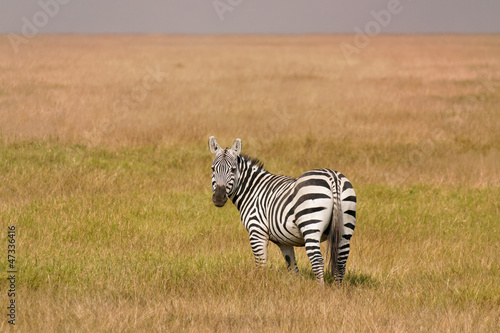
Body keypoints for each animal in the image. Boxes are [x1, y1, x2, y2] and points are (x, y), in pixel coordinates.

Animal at [209, 136, 358, 284]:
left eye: (233, 170)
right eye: (213, 169)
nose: (218, 198)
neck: (252, 190)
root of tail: (333, 177)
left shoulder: (257, 231)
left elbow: (260, 264)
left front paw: (259, 284)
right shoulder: (284, 241)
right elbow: (292, 267)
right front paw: (295, 286)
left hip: (311, 224)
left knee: (317, 260)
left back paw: (320, 289)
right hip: (345, 226)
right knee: (340, 262)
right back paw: (337, 289)